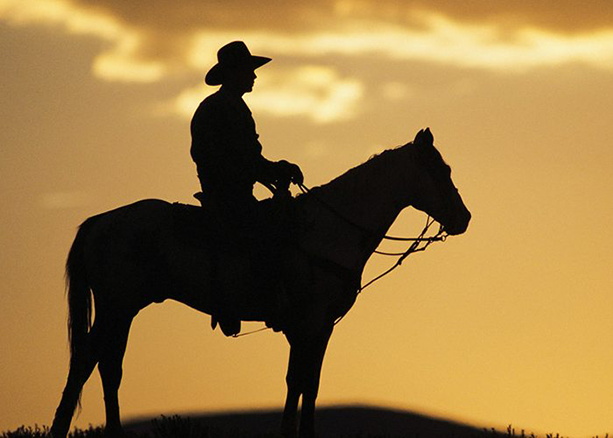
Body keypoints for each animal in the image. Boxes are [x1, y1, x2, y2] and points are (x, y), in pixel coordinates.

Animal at [51, 128, 468, 436]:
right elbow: (300, 381)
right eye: (442, 171)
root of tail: (99, 222)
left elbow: (305, 383)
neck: (331, 229)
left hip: (121, 309)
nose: (464, 218)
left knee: (104, 365)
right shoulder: (310, 322)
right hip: (116, 306)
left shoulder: (317, 327)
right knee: (92, 362)